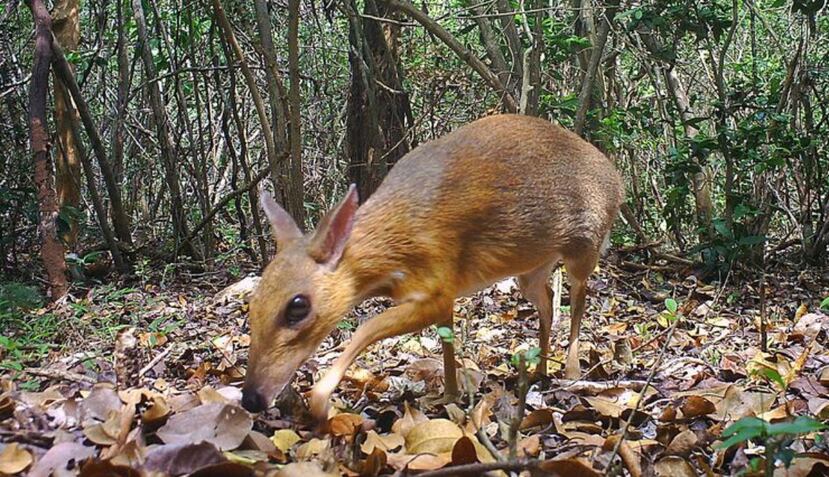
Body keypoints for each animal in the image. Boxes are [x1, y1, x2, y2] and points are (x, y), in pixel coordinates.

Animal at [243, 113, 624, 418]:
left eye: (297, 306)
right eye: (252, 304)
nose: (251, 398)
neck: (395, 242)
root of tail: (617, 178)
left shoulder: (437, 284)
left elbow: (367, 327)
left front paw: (321, 401)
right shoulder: (445, 293)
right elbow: (446, 341)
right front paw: (450, 395)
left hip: (585, 245)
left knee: (579, 298)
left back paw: (571, 371)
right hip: (531, 268)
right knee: (546, 300)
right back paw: (539, 370)